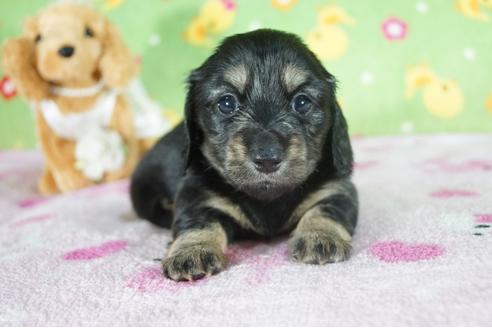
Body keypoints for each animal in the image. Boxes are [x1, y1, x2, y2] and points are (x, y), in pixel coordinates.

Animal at [132, 28, 358, 282]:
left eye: (302, 102)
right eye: (227, 102)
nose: (267, 158)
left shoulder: (337, 191)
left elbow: (325, 210)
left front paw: (320, 237)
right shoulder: (197, 197)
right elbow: (198, 224)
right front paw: (193, 251)